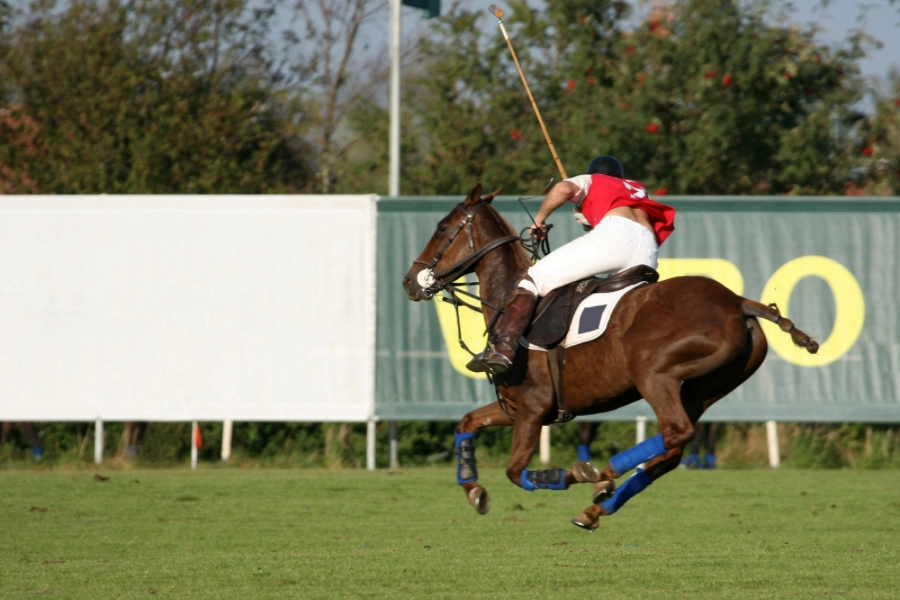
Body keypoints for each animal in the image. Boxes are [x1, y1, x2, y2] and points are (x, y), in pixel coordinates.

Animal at [404, 185, 820, 532]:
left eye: (442, 227)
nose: (410, 280)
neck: (506, 299)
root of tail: (737, 302)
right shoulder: (515, 406)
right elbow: (467, 422)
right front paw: (473, 489)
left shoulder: (533, 407)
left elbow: (514, 469)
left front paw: (567, 475)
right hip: (703, 389)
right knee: (671, 450)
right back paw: (595, 507)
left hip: (653, 374)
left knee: (676, 433)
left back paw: (603, 473)